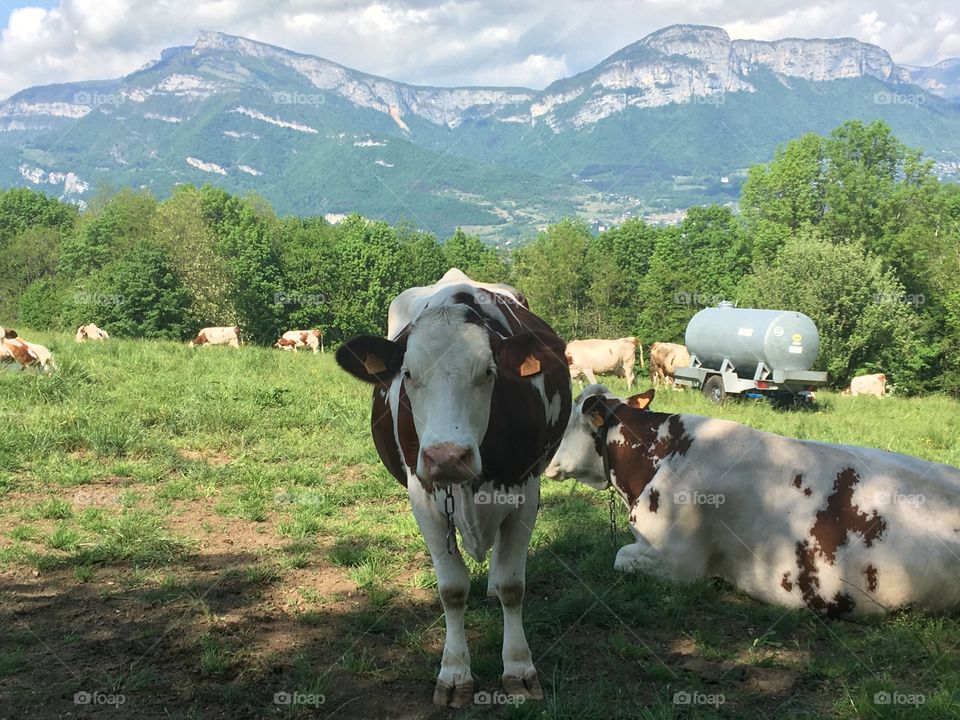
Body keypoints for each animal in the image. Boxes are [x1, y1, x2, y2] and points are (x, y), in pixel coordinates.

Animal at [335, 268, 571, 707]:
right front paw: (455, 672)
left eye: (489, 372)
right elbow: (453, 589)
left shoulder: (526, 490)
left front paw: (518, 668)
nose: (447, 457)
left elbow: (513, 584)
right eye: (409, 374)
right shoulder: (423, 496)